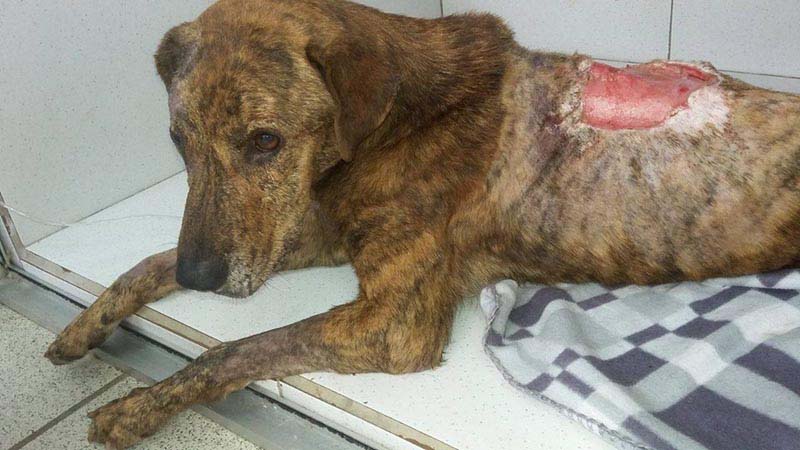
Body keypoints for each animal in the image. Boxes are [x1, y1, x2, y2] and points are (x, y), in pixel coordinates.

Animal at [44, 0, 800, 447]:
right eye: (178, 142)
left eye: (264, 141)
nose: (200, 277)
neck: (394, 120)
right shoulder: (307, 228)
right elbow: (149, 264)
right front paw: (86, 325)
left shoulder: (390, 322)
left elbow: (236, 350)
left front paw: (136, 409)